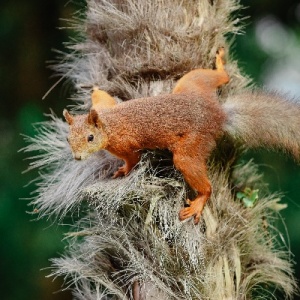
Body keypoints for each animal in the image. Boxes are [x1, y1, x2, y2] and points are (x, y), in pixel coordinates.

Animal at [62, 48, 300, 223]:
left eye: (90, 138)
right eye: (68, 138)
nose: (77, 157)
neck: (108, 124)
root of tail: (218, 115)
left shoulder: (125, 145)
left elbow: (133, 160)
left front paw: (123, 171)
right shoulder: (104, 108)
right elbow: (104, 98)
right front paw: (94, 88)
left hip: (192, 146)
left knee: (202, 181)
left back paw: (198, 202)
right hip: (192, 83)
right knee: (218, 77)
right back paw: (220, 65)